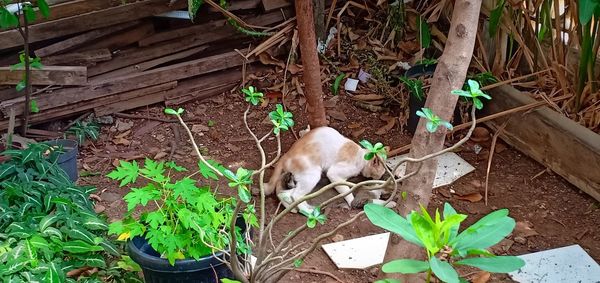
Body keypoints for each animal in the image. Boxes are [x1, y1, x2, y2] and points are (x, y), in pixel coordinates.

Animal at [262, 126, 390, 215]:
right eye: (381, 173)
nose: (380, 177)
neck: (361, 156)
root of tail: (286, 155)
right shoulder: (334, 174)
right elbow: (347, 191)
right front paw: (353, 202)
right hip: (312, 176)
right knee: (295, 195)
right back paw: (307, 212)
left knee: (283, 191)